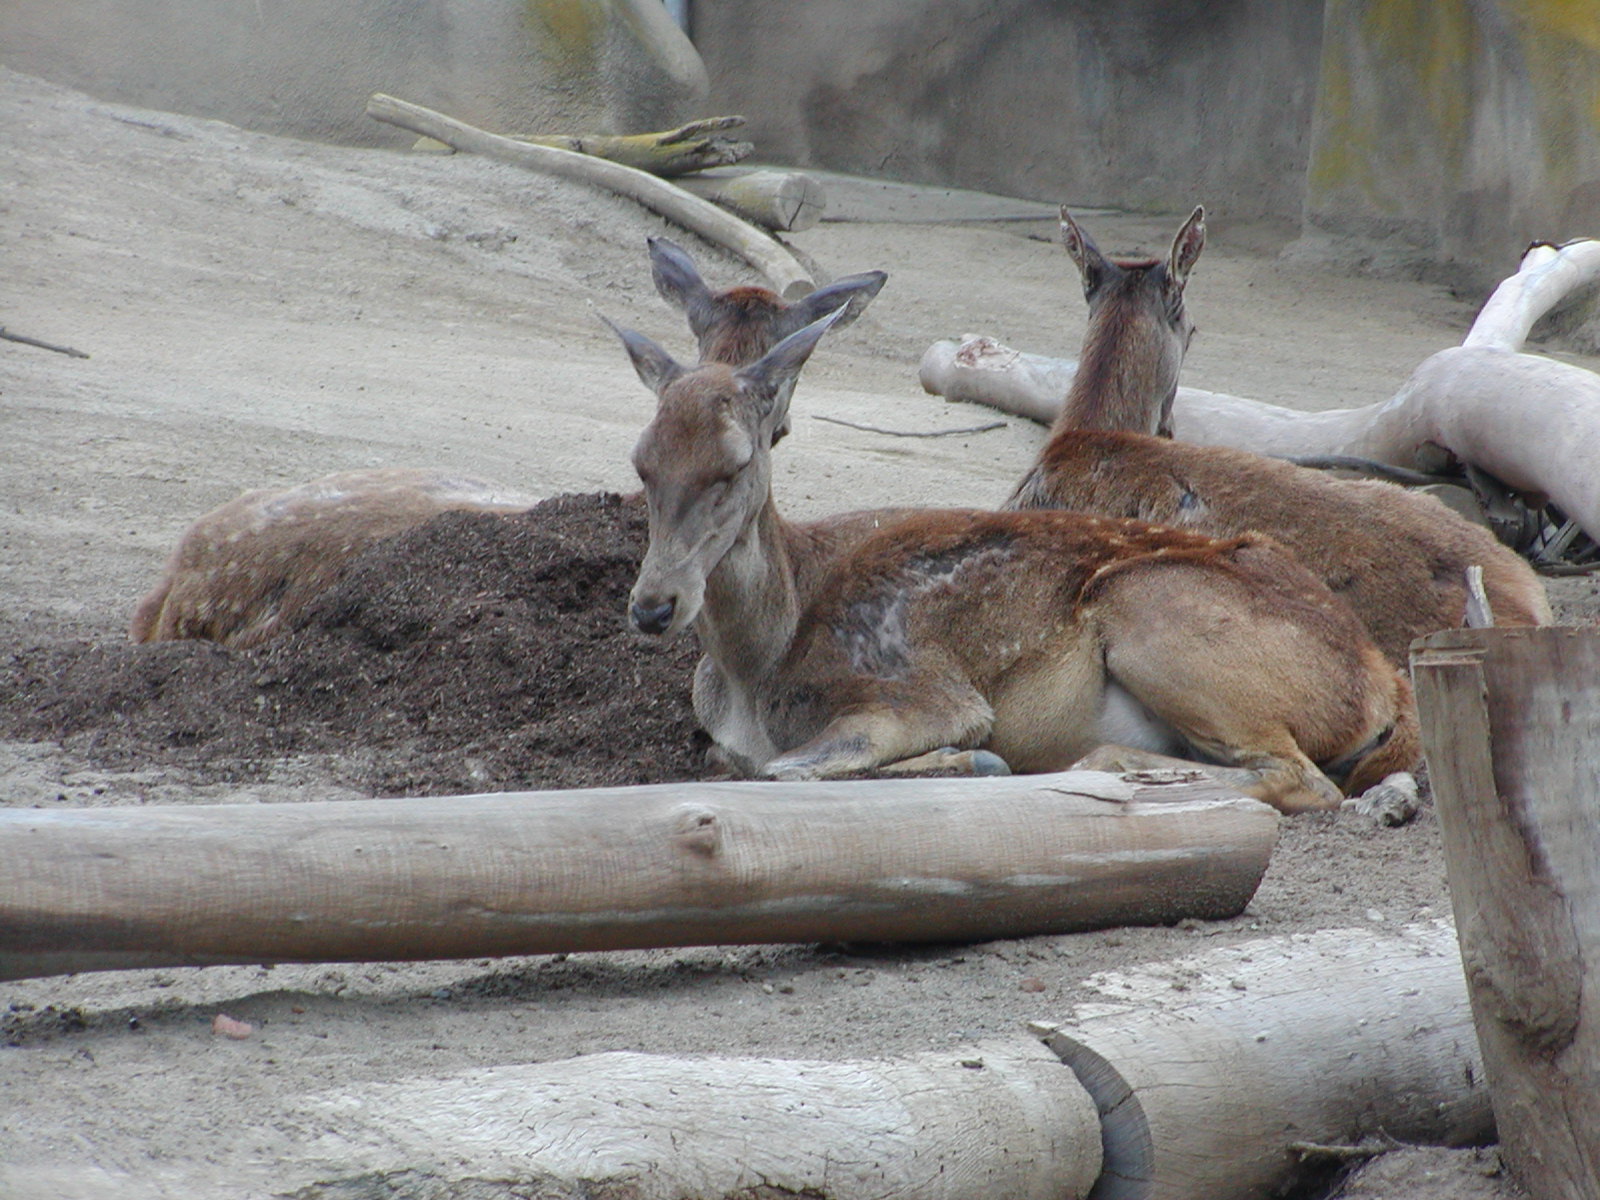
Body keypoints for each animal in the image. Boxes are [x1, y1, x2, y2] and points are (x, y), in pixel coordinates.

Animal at [614, 308, 1421, 815]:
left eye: (733, 464)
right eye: (641, 462)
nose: (653, 605)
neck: (756, 665)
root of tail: (1383, 683)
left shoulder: (920, 693)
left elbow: (785, 769)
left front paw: (974, 763)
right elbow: (733, 763)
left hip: (1154, 608)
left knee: (1302, 779)